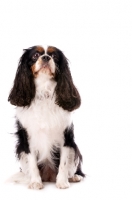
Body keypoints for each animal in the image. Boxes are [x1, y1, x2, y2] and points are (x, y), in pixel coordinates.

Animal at [8, 45, 84, 189]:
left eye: (54, 56)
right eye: (35, 55)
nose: (46, 57)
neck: (44, 91)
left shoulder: (66, 138)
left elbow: (64, 163)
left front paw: (62, 182)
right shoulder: (28, 139)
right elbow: (32, 162)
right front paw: (35, 182)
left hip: (74, 148)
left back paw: (74, 177)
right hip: (21, 151)